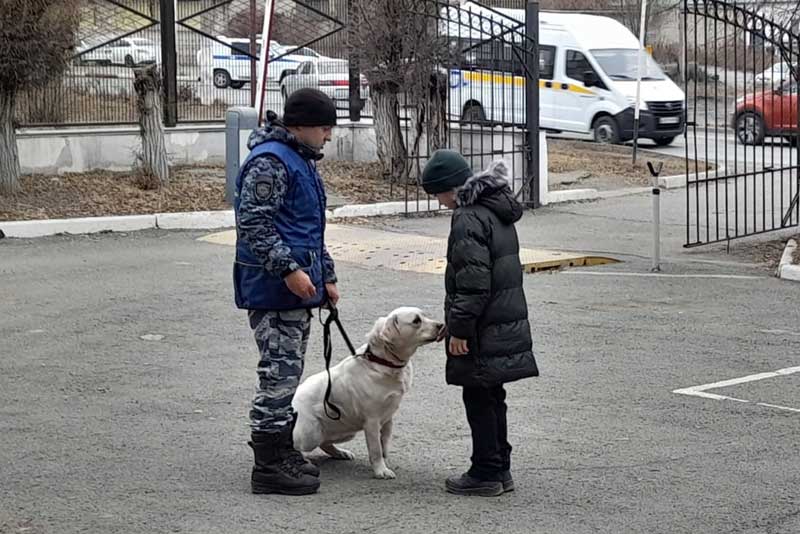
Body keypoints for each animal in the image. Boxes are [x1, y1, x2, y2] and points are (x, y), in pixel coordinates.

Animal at [294, 310, 444, 482]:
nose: (441, 325)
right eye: (416, 321)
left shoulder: (388, 417)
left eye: (423, 315)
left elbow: (384, 442)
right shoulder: (372, 421)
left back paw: (340, 453)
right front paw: (381, 470)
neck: (383, 362)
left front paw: (384, 459)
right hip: (311, 433)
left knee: (325, 443)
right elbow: (375, 449)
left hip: (344, 430)